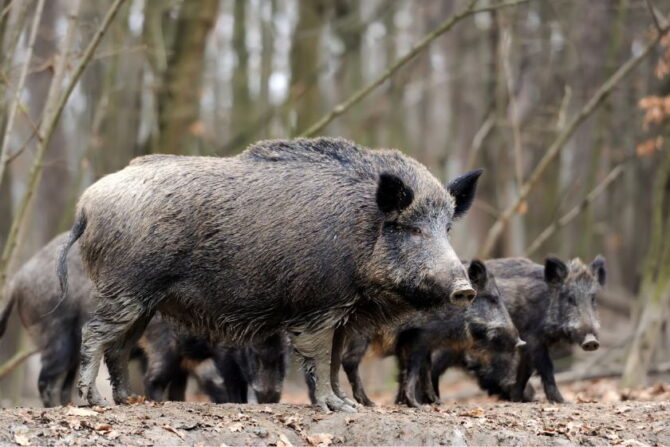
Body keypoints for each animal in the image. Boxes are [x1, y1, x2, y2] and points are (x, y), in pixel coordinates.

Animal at [59, 137, 482, 412]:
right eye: (412, 228)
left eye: (447, 228)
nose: (465, 289)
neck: (361, 229)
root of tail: (85, 203)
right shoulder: (319, 307)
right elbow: (318, 357)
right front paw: (333, 408)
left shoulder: (343, 316)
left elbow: (333, 359)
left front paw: (348, 406)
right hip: (126, 288)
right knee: (95, 333)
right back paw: (94, 402)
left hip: (144, 301)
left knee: (119, 345)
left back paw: (127, 401)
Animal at [484, 256, 606, 403]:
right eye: (570, 298)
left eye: (593, 299)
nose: (591, 341)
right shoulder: (532, 338)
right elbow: (546, 367)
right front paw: (562, 401)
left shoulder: (526, 343)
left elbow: (525, 370)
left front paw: (517, 399)